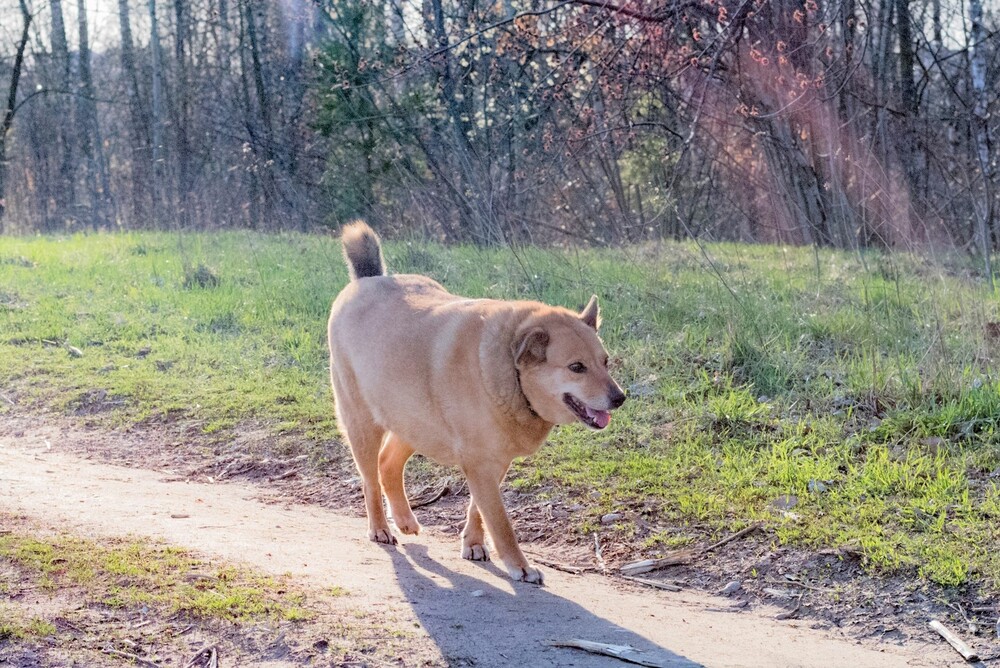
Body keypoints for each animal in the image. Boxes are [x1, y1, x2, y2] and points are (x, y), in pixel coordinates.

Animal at [328, 222, 624, 580]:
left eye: (605, 362)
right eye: (576, 367)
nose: (620, 398)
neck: (511, 372)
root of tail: (368, 279)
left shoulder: (493, 461)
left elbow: (479, 511)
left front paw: (473, 543)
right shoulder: (480, 463)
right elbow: (499, 520)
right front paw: (518, 565)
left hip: (415, 423)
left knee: (388, 464)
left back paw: (404, 520)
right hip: (363, 424)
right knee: (371, 479)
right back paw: (380, 528)